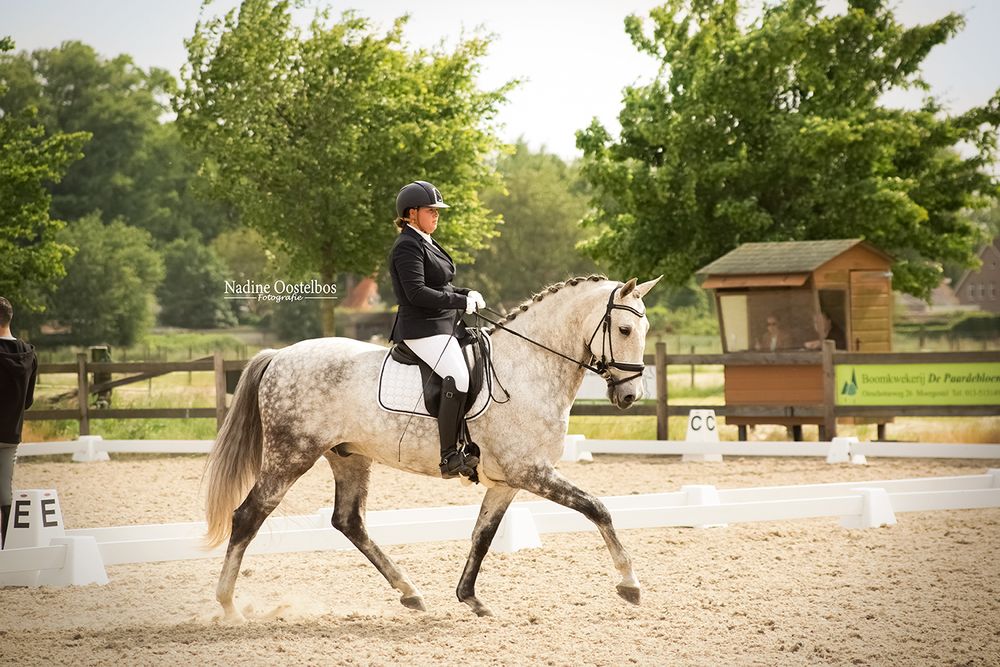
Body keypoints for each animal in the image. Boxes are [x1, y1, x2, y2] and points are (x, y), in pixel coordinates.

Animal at [204, 274, 661, 620]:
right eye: (624, 330)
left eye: (645, 331)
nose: (630, 396)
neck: (527, 368)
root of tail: (279, 355)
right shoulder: (532, 471)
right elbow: (597, 508)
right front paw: (630, 584)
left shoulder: (508, 481)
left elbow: (483, 535)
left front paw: (471, 599)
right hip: (291, 454)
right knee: (248, 516)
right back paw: (228, 607)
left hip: (349, 456)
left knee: (349, 521)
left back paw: (410, 592)